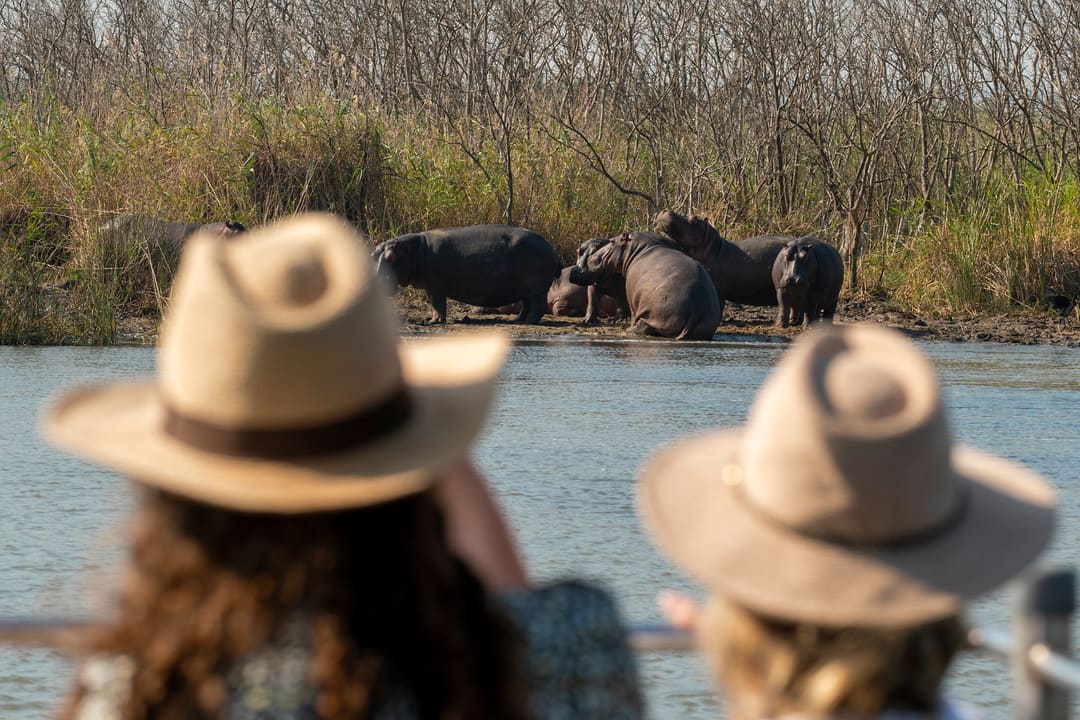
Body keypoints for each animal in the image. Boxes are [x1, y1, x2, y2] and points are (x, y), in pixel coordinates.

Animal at [373, 224, 560, 325]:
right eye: (373, 254)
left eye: (391, 257)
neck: (416, 251)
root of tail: (550, 248)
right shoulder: (430, 288)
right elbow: (433, 305)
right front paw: (431, 320)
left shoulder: (436, 287)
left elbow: (438, 304)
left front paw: (434, 322)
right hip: (527, 290)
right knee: (527, 306)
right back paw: (518, 321)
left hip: (536, 289)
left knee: (537, 307)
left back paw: (527, 322)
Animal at [569, 231, 721, 340]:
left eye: (612, 241)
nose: (591, 258)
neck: (637, 249)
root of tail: (697, 309)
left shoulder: (629, 295)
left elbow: (629, 310)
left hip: (655, 314)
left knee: (645, 325)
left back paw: (630, 329)